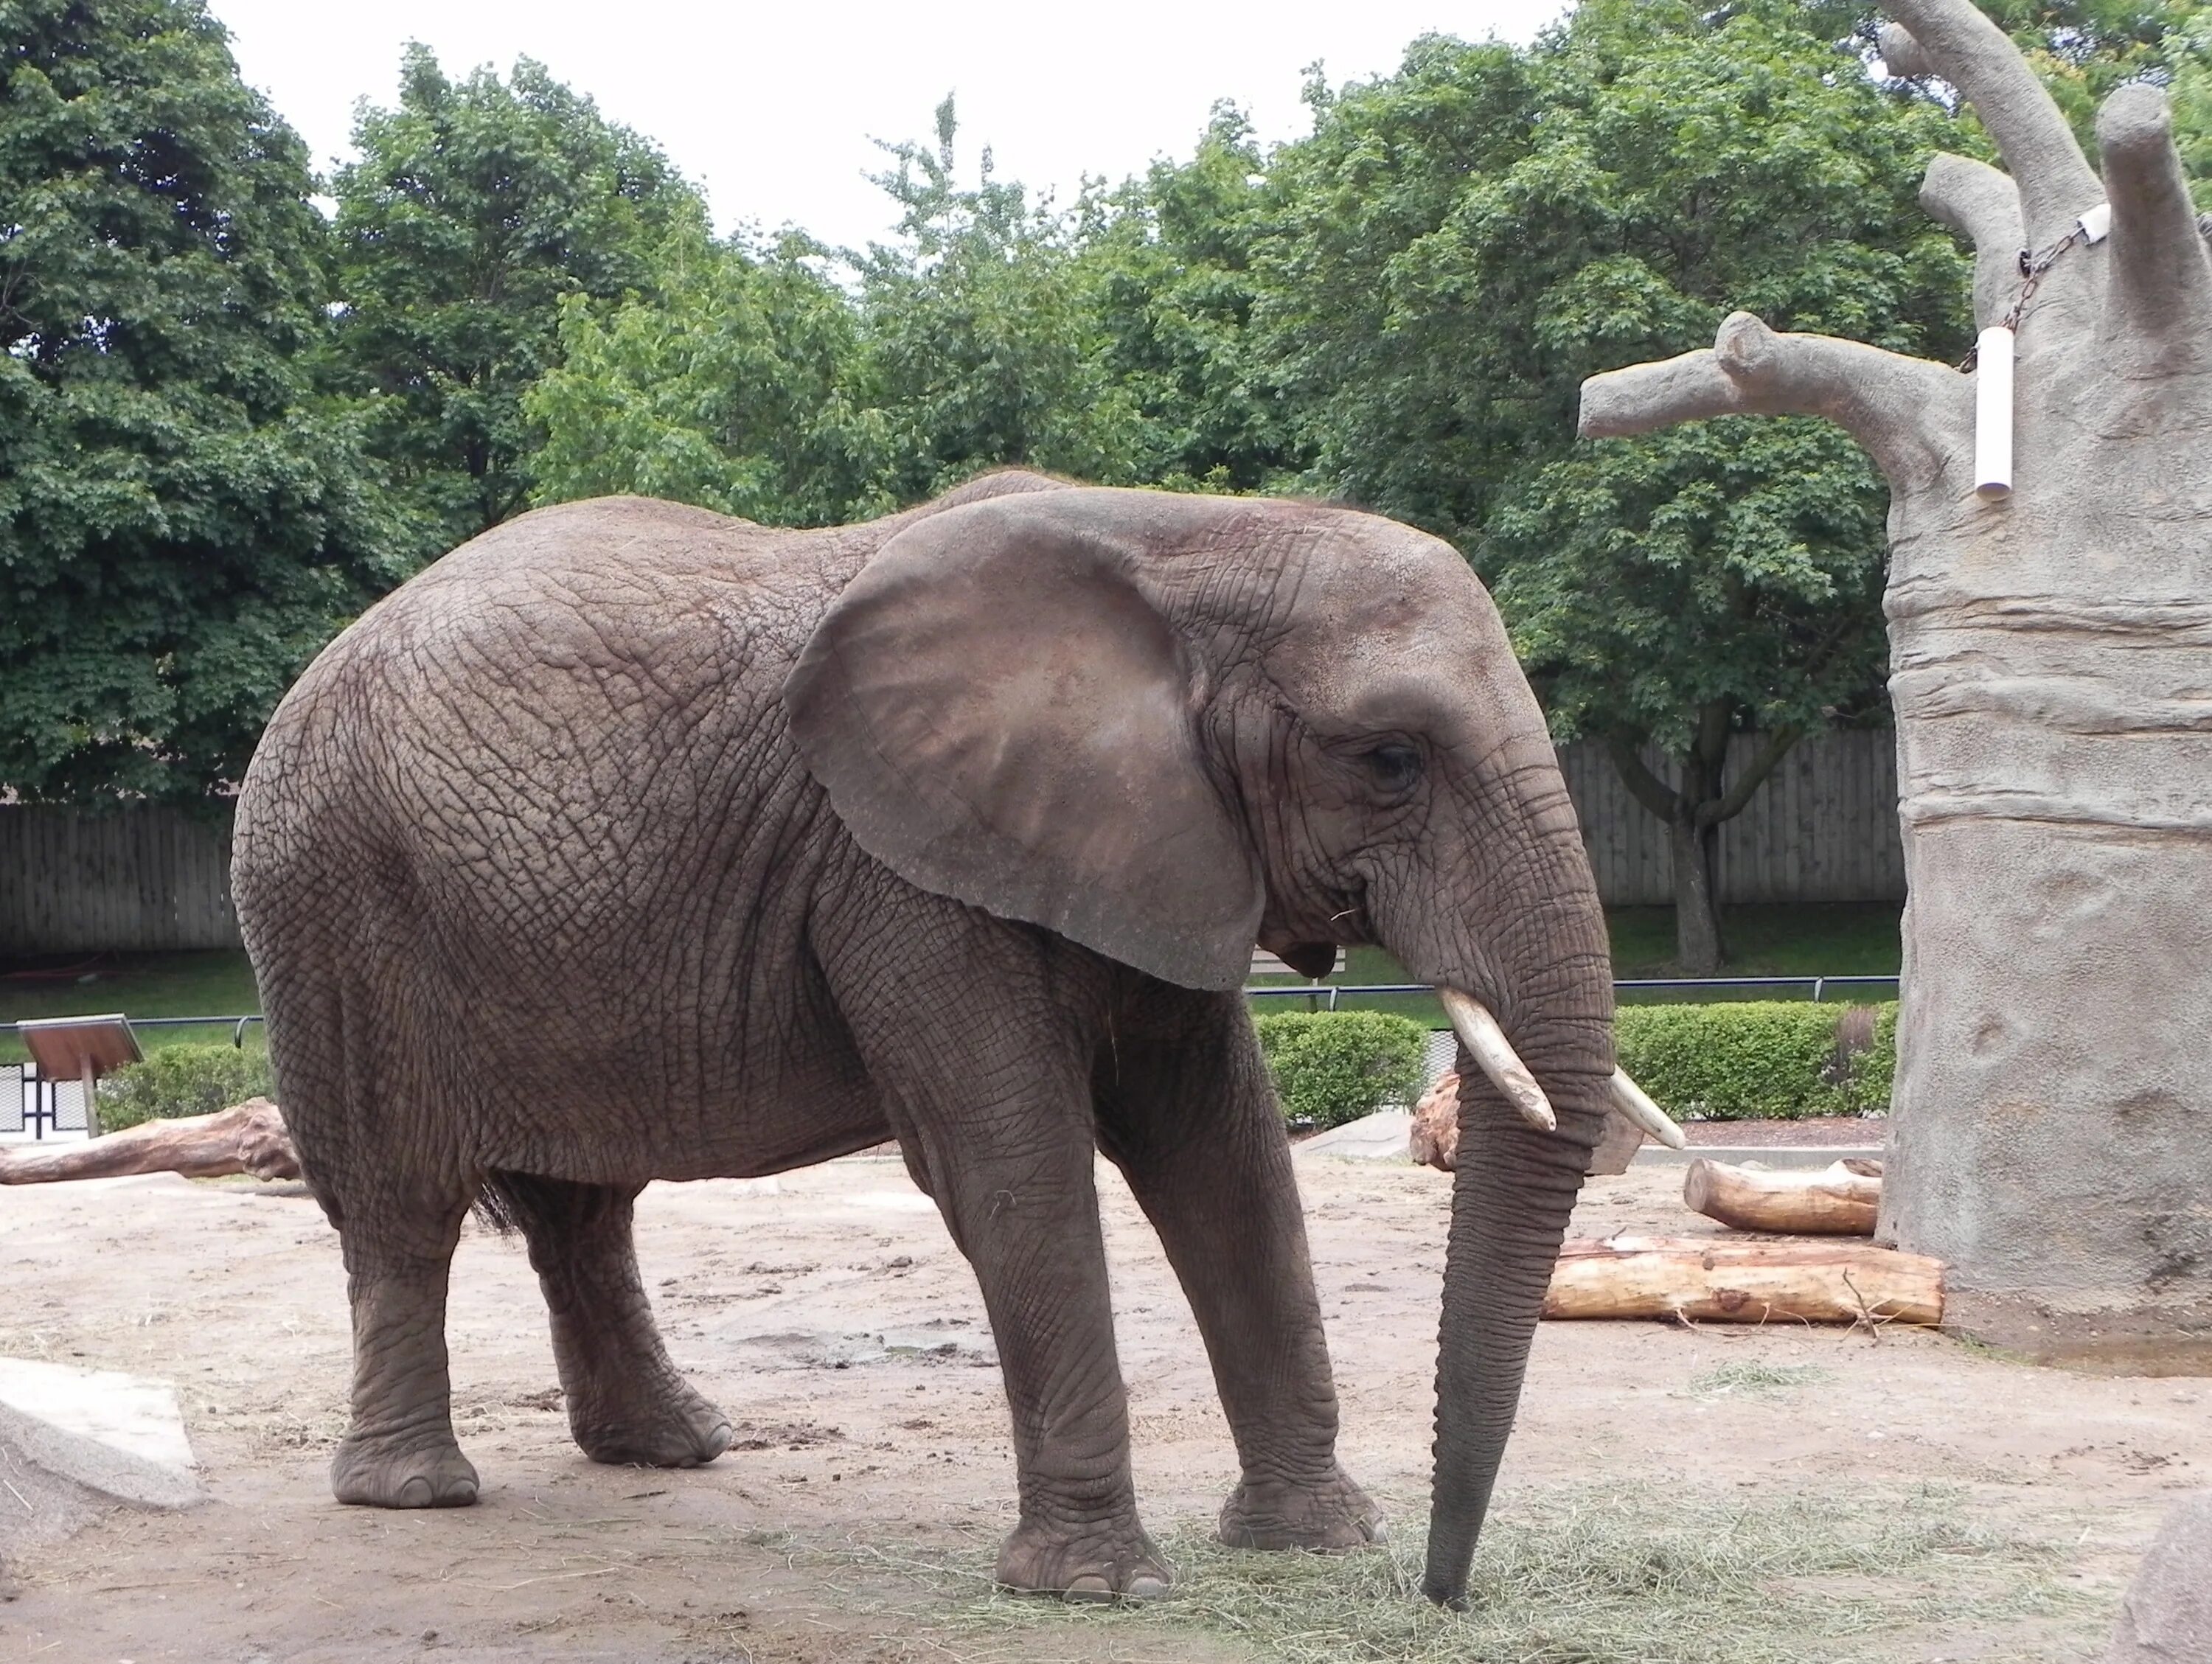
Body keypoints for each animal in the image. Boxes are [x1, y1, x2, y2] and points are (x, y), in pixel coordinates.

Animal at [233, 471, 1663, 1610]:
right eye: (1389, 760)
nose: (1441, 1593)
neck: (1192, 541)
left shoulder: (1157, 845)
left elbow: (1226, 1156)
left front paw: (1313, 1543)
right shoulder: (900, 871)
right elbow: (1015, 1162)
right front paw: (1098, 1589)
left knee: (585, 1209)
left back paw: (677, 1447)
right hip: (335, 907)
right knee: (402, 1202)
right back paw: (416, 1492)